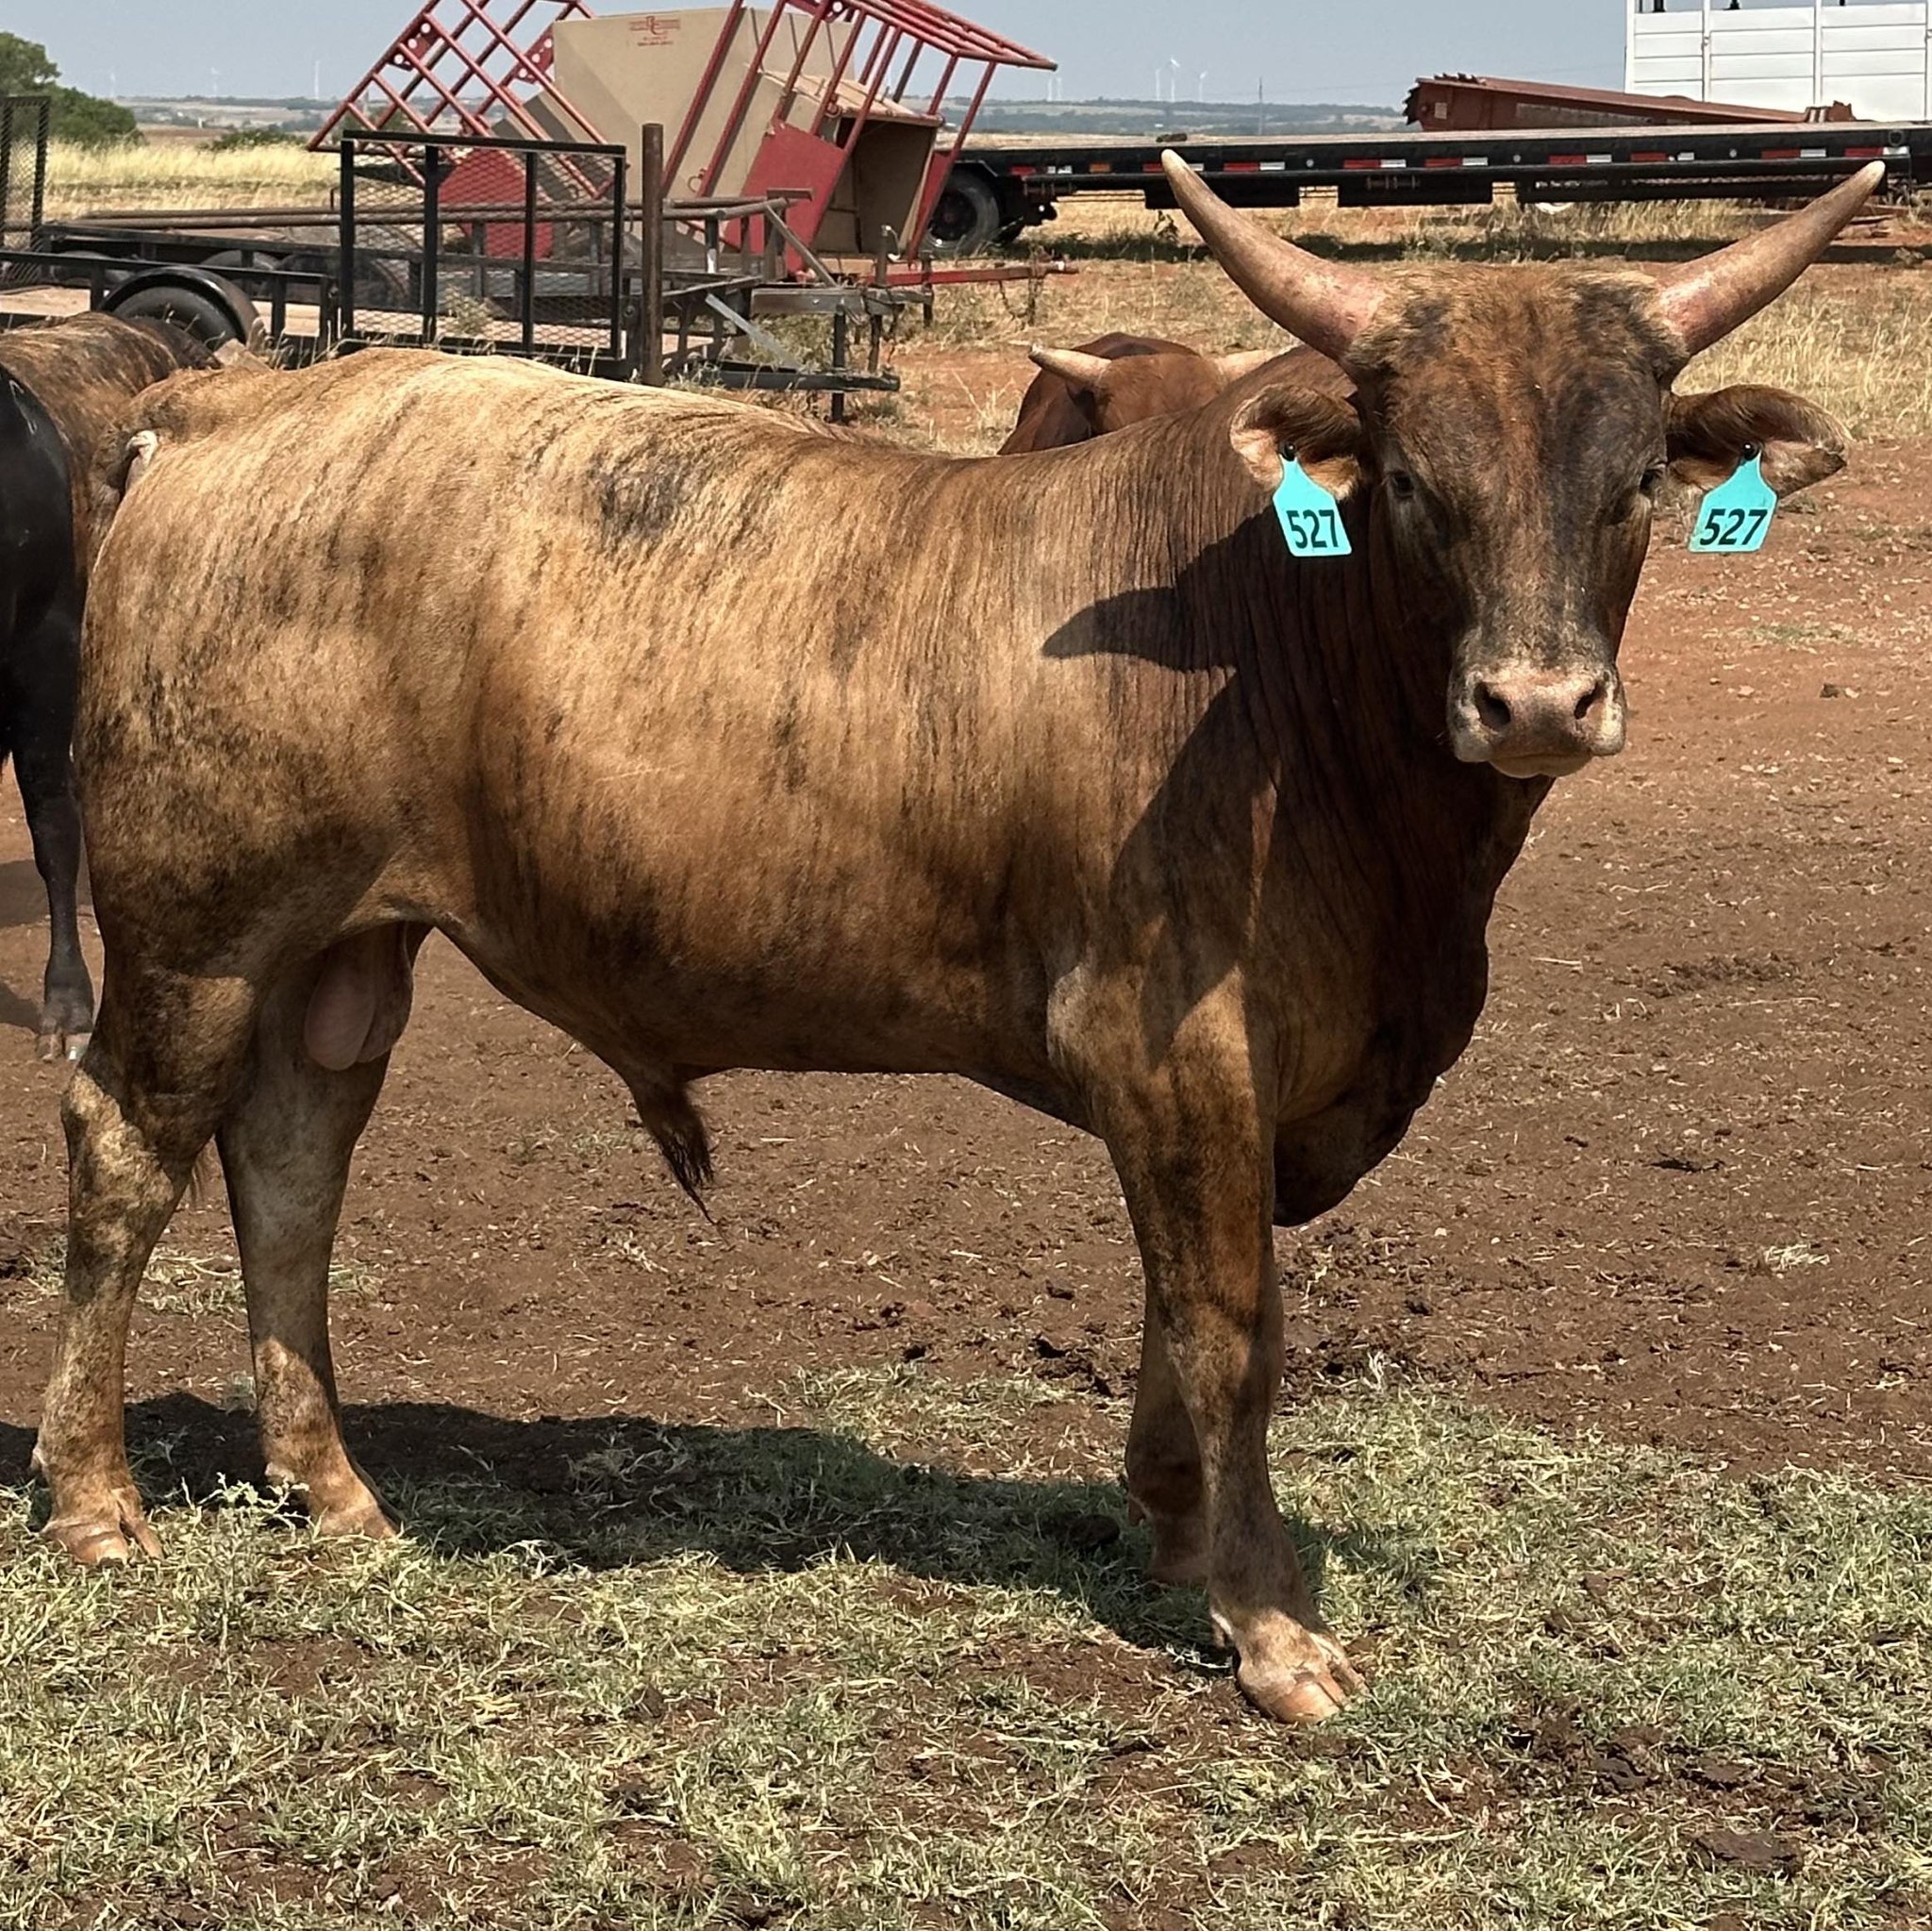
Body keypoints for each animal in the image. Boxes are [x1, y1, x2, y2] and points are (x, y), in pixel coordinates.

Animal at [33, 155, 1877, 1726]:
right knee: (130, 1148)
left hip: (343, 944)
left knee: (292, 1159)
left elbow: (1172, 1306)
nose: (1538, 704)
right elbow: (1233, 1319)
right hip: (197, 927)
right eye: (1413, 482)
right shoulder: (1176, 1041)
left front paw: (1169, 1528)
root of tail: (236, 401)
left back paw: (333, 1485)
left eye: (1632, 485)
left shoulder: (1216, 1086)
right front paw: (1271, 1618)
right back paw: (96, 1502)